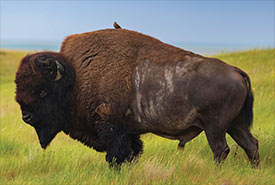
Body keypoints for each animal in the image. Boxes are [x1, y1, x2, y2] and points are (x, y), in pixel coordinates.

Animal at [15, 22, 260, 167]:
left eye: (43, 91)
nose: (26, 117)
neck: (76, 78)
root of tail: (236, 71)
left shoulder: (112, 129)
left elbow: (115, 155)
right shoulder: (129, 133)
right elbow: (132, 152)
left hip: (215, 127)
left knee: (221, 150)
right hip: (235, 125)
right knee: (250, 144)